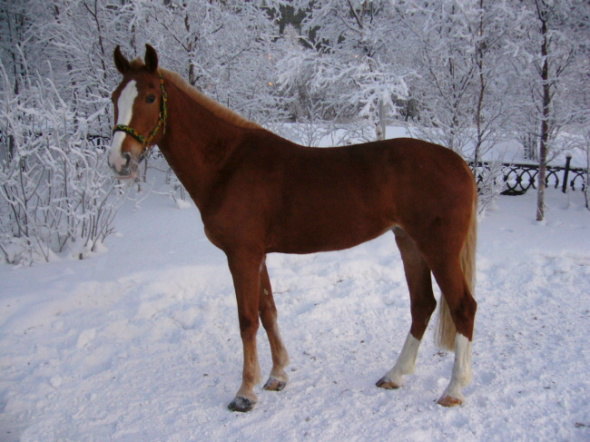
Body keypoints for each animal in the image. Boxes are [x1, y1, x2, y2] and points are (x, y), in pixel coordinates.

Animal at [107, 43, 480, 412]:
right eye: (114, 97)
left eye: (150, 97)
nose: (119, 160)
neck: (227, 164)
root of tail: (457, 162)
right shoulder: (257, 256)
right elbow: (268, 311)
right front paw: (277, 376)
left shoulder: (241, 256)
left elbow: (247, 320)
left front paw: (245, 393)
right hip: (409, 243)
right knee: (423, 305)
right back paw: (395, 375)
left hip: (439, 249)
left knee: (463, 307)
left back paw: (454, 390)